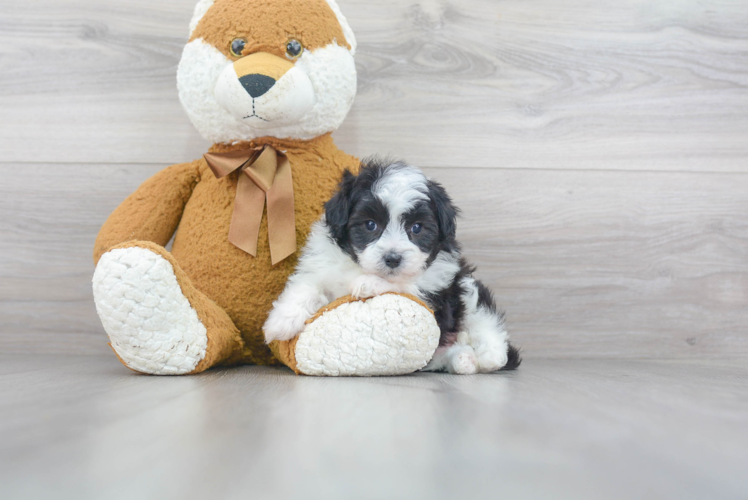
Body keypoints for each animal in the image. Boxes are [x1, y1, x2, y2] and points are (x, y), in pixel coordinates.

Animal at [262, 158, 520, 374]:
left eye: (416, 228)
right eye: (370, 224)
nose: (393, 258)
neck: (359, 267)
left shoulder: (439, 292)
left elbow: (406, 286)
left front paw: (369, 284)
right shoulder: (323, 265)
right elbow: (307, 285)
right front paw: (281, 321)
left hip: (467, 288)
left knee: (485, 320)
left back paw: (488, 356)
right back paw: (463, 358)